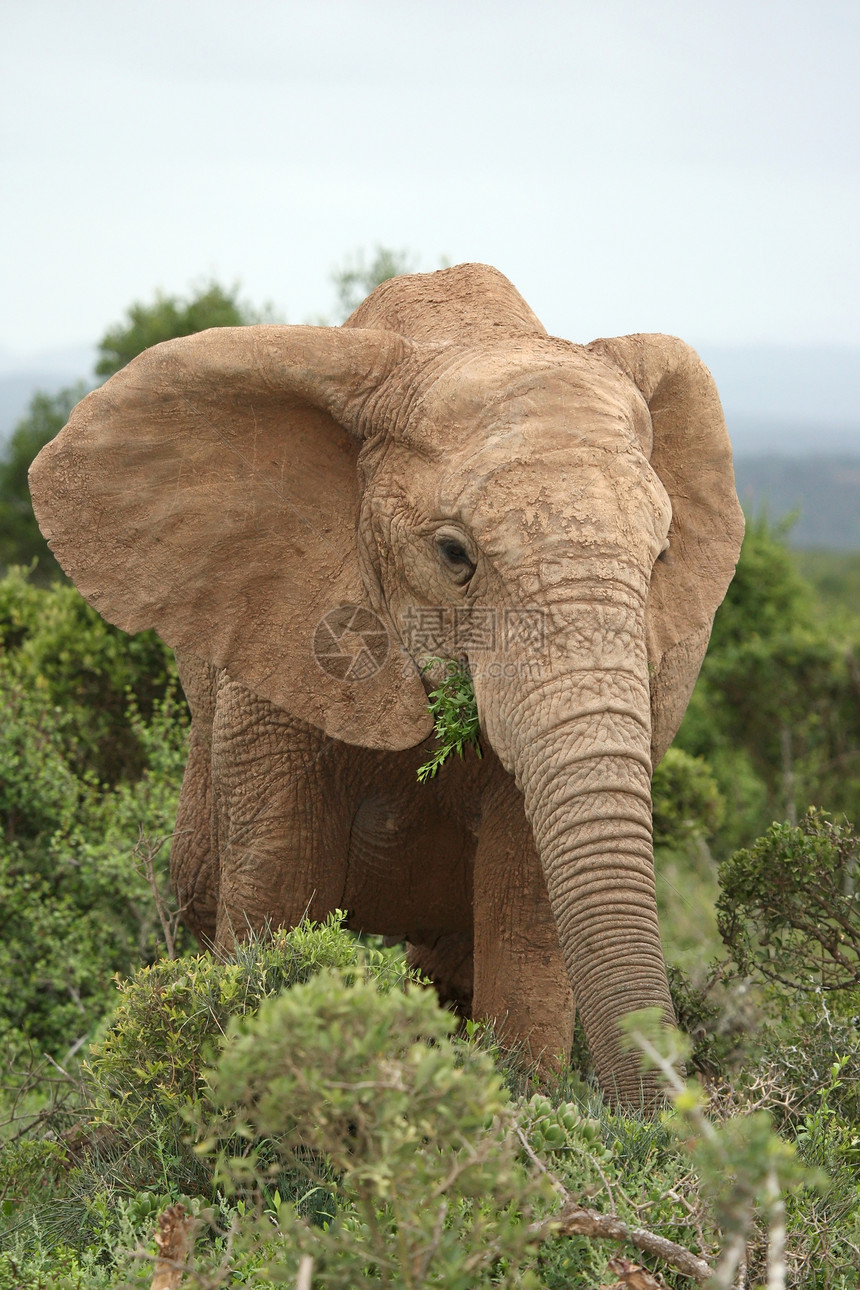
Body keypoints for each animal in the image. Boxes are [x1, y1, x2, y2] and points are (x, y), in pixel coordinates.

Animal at [30, 264, 742, 1109]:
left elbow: (526, 904)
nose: (680, 1115)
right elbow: (278, 889)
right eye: (454, 554)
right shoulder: (277, 637)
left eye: (662, 557)